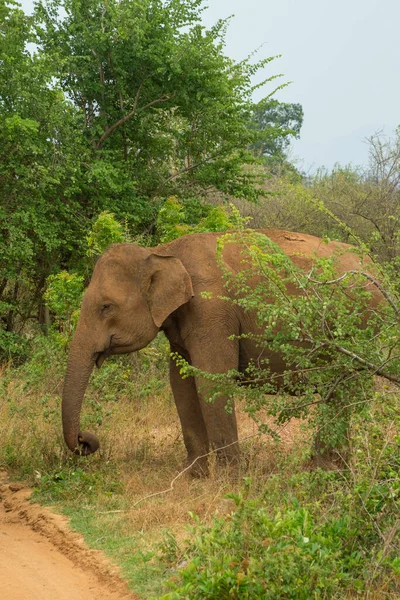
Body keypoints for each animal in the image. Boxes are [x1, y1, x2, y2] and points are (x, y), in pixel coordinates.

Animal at [61, 230, 380, 474]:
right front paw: (193, 475)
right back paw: (331, 469)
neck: (162, 252)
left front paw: (230, 480)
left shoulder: (212, 310)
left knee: (344, 388)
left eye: (106, 307)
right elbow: (181, 384)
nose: (86, 440)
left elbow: (212, 381)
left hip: (360, 325)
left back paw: (324, 470)